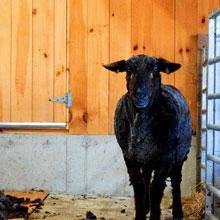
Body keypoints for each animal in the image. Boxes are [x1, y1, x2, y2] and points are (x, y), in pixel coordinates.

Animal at [103, 53, 191, 220]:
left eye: (155, 70)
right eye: (129, 69)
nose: (140, 95)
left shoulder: (166, 158)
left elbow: (157, 188)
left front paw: (155, 215)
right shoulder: (129, 156)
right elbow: (138, 185)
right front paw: (140, 213)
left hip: (180, 155)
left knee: (176, 180)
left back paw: (177, 212)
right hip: (146, 160)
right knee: (146, 179)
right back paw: (146, 206)